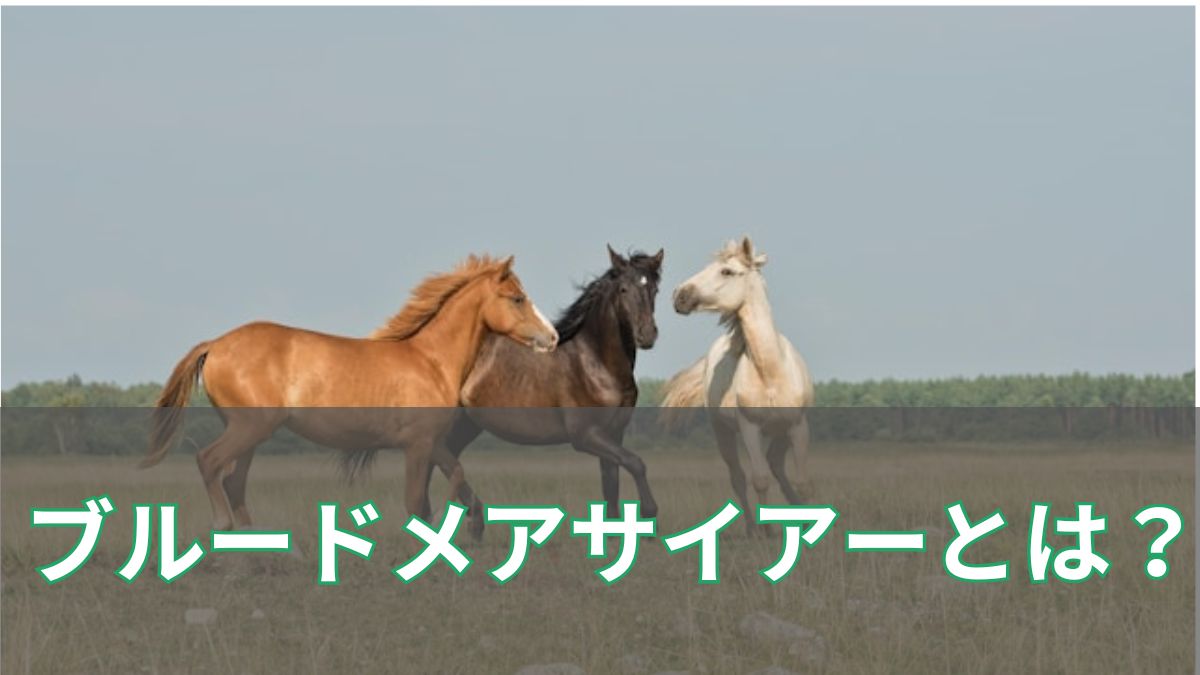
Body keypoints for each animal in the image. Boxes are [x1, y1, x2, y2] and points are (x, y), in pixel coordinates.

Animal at [139, 255, 559, 532]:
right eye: (517, 298)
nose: (552, 337)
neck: (431, 361)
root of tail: (215, 344)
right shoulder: (417, 445)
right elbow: (415, 502)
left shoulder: (433, 442)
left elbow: (457, 483)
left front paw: (471, 527)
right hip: (249, 429)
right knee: (209, 463)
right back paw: (224, 527)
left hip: (251, 436)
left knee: (233, 482)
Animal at [417, 246, 663, 528]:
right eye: (623, 289)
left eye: (654, 288)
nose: (647, 335)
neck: (596, 362)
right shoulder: (586, 435)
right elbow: (635, 462)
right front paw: (649, 510)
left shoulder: (614, 433)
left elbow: (611, 488)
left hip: (466, 425)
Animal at [661, 237, 813, 532]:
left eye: (727, 271)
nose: (679, 295)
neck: (771, 373)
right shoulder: (750, 428)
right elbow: (759, 479)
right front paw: (766, 531)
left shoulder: (797, 426)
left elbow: (802, 481)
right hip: (725, 433)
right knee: (740, 477)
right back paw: (753, 528)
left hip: (779, 433)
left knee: (776, 465)